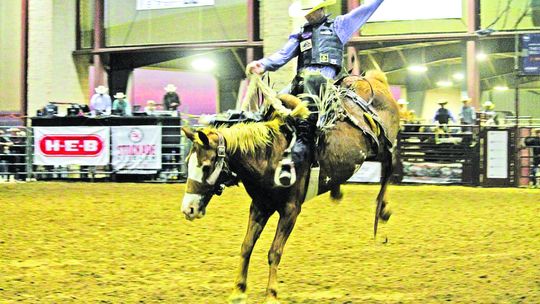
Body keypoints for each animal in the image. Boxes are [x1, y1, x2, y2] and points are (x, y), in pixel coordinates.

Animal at [179, 70, 398, 302]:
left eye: (206, 166)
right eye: (188, 162)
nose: (188, 209)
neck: (271, 155)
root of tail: (374, 79)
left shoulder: (290, 210)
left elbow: (274, 252)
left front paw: (271, 294)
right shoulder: (260, 206)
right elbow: (246, 246)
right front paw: (238, 291)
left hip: (384, 143)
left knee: (389, 164)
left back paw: (382, 210)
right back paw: (339, 192)